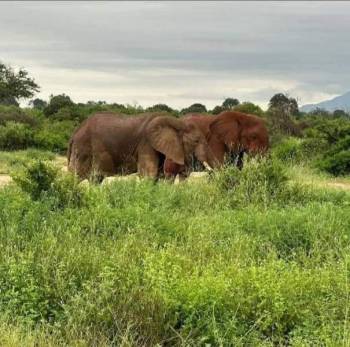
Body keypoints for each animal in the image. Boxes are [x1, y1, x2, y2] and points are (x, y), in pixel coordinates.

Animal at [65, 112, 213, 182]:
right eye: (196, 141)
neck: (176, 121)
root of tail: (74, 134)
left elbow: (158, 176)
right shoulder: (146, 144)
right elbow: (149, 175)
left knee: (96, 179)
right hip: (83, 150)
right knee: (75, 177)